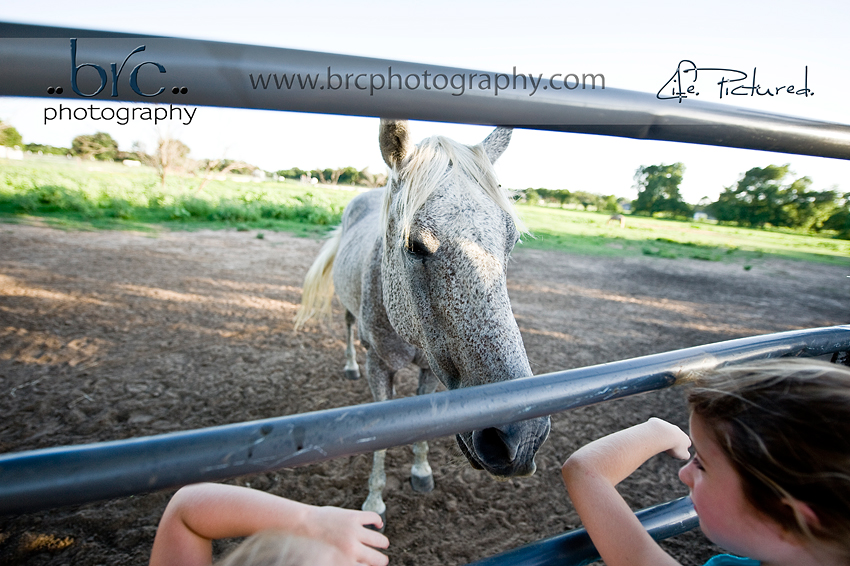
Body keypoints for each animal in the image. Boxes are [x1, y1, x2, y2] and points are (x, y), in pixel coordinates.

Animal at [295, 120, 551, 525]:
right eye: (413, 244)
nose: (521, 436)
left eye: (511, 242)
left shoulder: (431, 370)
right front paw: (374, 501)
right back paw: (349, 365)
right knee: (348, 326)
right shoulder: (379, 367)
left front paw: (421, 471)